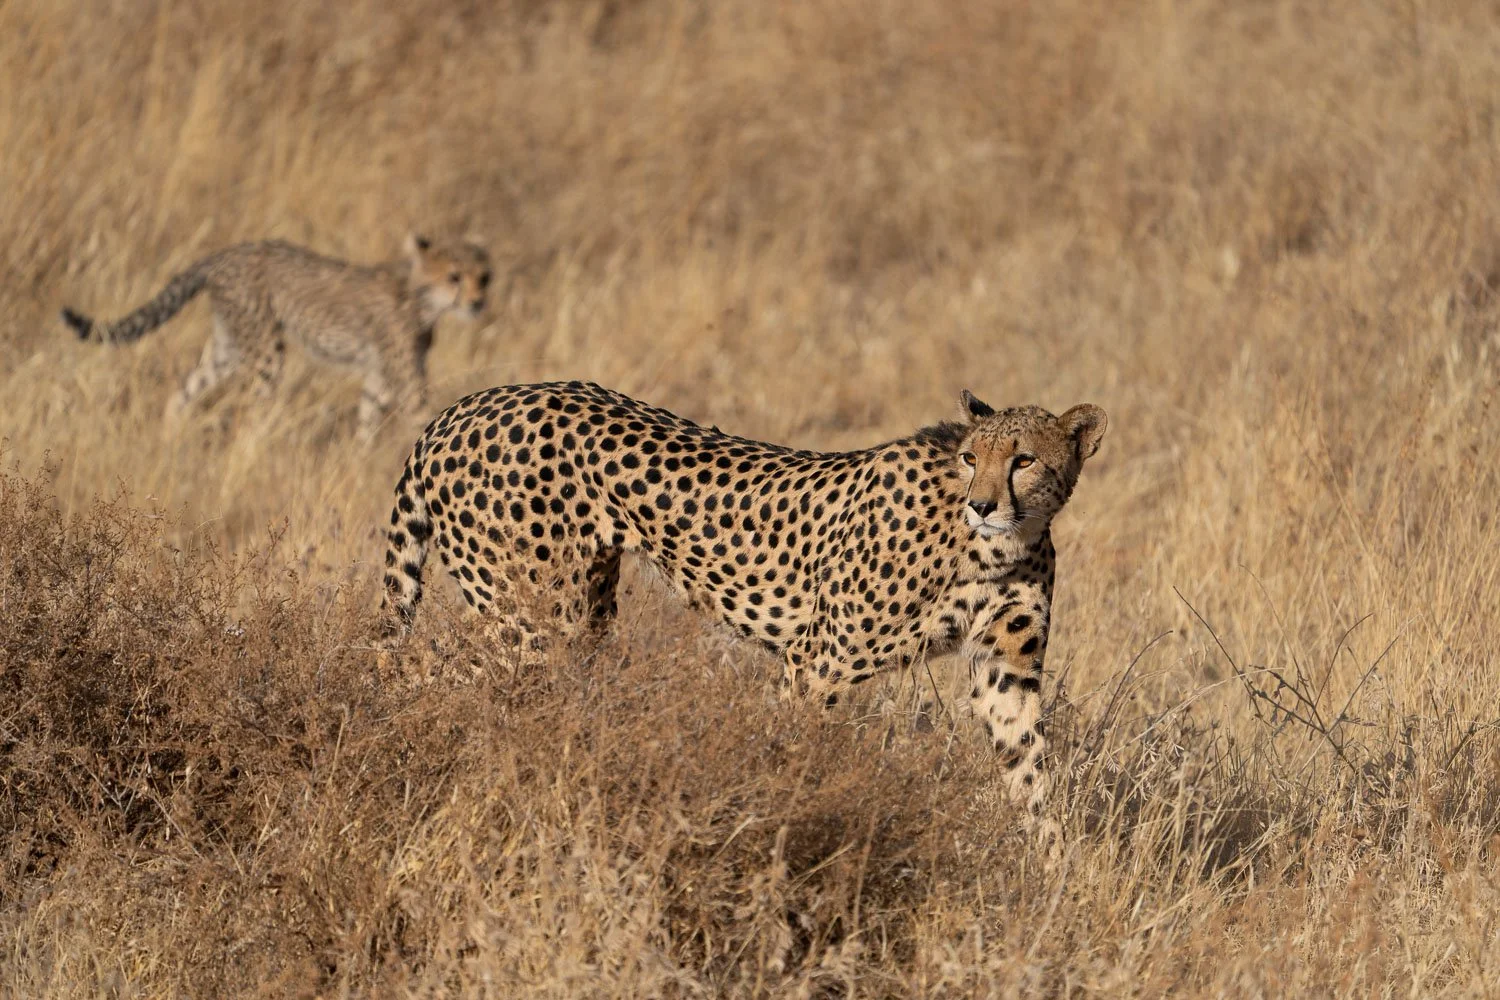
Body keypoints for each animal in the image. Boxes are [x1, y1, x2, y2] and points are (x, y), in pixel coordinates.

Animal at [61, 234, 492, 439]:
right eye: (454, 277)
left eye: (484, 276)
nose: (478, 302)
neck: (422, 297)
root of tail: (226, 253)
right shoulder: (406, 377)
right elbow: (422, 416)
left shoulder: (379, 373)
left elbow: (368, 418)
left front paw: (361, 458)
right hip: (266, 352)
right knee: (246, 416)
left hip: (229, 345)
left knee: (183, 392)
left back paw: (169, 438)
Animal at [378, 380, 1106, 821]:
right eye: (970, 458)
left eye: (1023, 460)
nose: (982, 504)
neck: (997, 542)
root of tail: (465, 406)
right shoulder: (818, 664)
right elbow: (795, 755)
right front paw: (782, 823)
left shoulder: (1004, 669)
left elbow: (1029, 771)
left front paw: (1047, 875)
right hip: (529, 620)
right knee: (430, 674)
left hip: (582, 612)